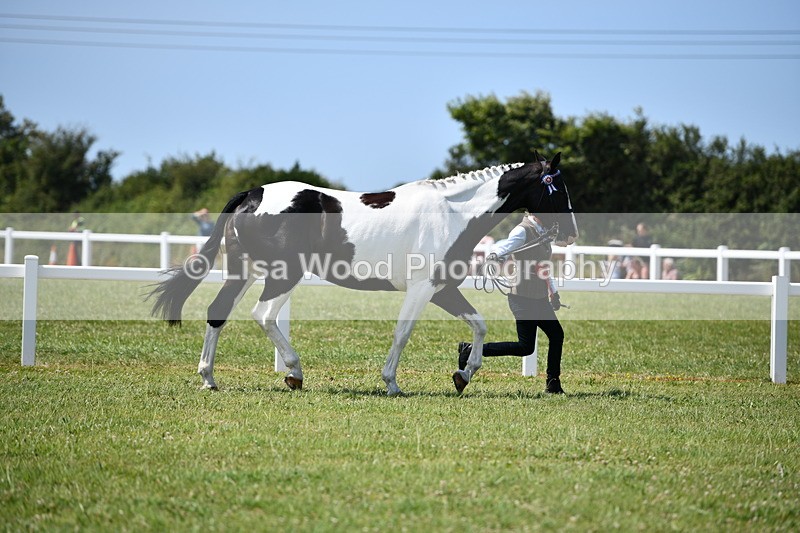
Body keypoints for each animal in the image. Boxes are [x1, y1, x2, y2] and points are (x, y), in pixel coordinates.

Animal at [150, 151, 578, 395]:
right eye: (557, 189)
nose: (571, 233)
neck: (452, 214)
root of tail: (253, 194)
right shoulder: (423, 289)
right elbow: (403, 333)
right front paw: (392, 383)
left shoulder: (441, 288)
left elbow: (479, 325)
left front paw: (464, 374)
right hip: (282, 274)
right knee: (264, 314)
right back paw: (294, 373)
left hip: (245, 270)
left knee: (217, 313)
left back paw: (209, 378)